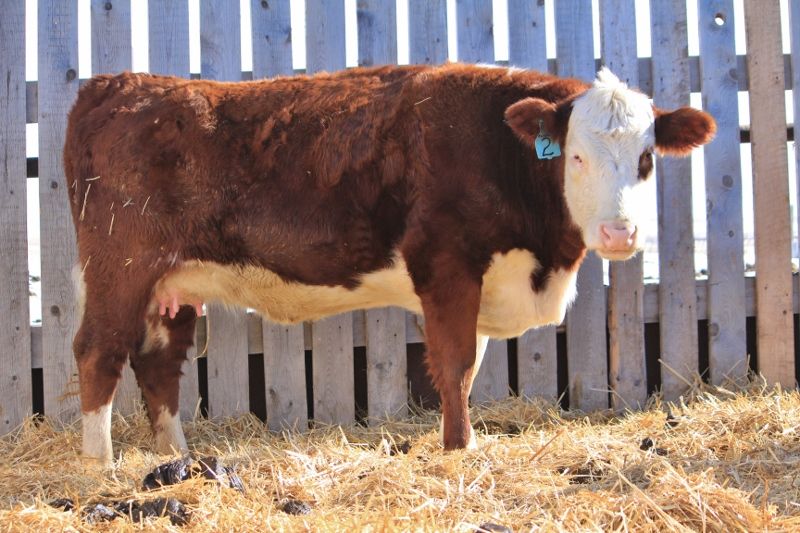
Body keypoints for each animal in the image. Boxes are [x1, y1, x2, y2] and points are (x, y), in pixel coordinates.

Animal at [64, 63, 715, 463]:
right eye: (575, 156)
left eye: (646, 159)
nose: (619, 232)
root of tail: (118, 83)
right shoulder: (446, 266)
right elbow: (454, 365)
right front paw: (459, 449)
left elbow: (470, 367)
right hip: (121, 264)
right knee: (98, 350)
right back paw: (101, 465)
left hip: (173, 283)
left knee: (158, 361)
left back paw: (176, 456)